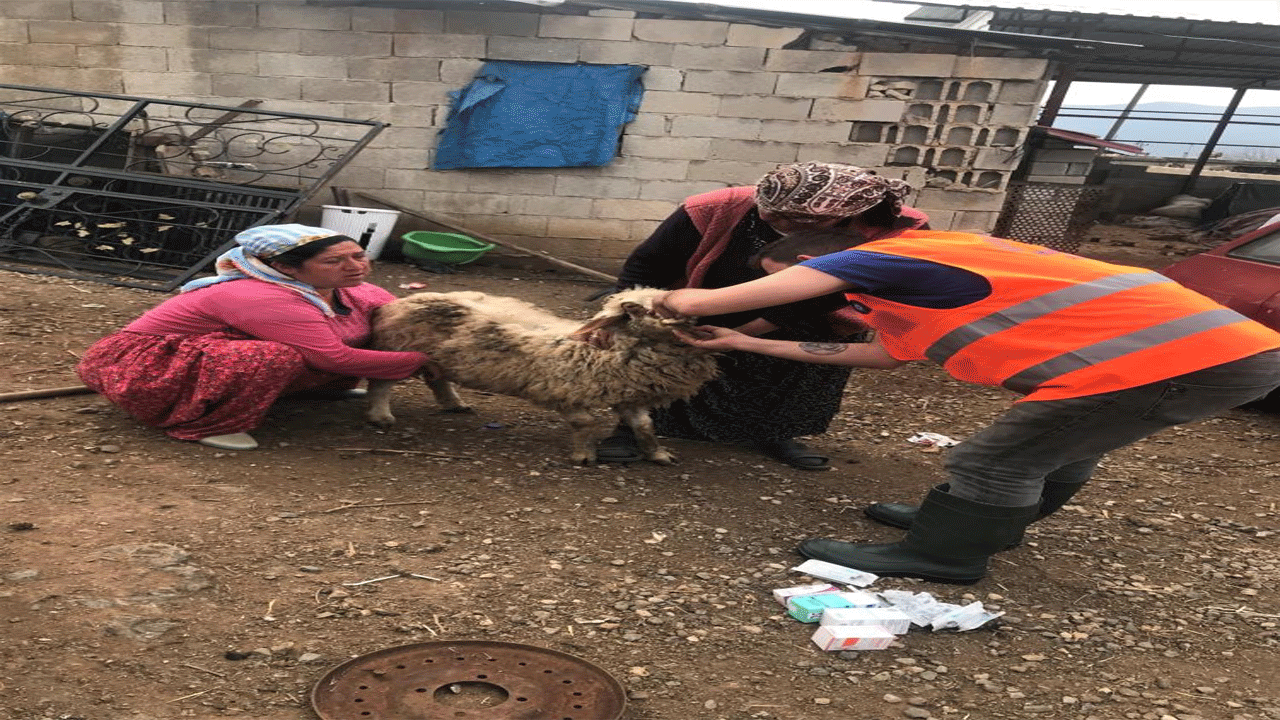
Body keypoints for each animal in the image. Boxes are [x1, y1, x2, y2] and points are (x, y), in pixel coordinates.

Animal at [363, 286, 721, 466]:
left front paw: (657, 454)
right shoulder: (562, 391)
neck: (604, 349)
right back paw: (381, 416)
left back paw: (453, 403)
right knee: (382, 383)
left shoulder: (628, 394)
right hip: (397, 347)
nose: (695, 314)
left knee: (437, 378)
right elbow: (585, 423)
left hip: (439, 357)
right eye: (645, 308)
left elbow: (644, 426)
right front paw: (583, 456)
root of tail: (398, 302)